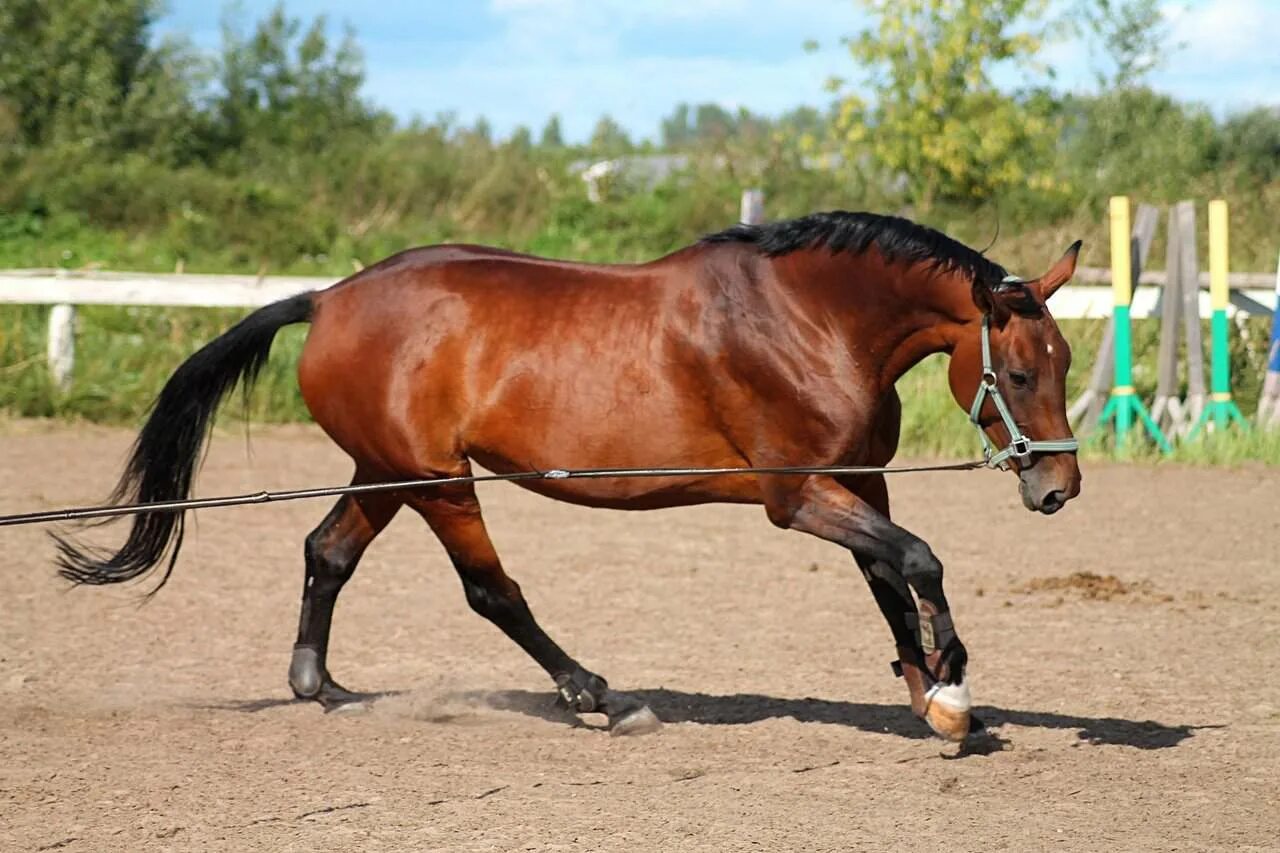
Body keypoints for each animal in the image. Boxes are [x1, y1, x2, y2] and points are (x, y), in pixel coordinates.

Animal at [57, 211, 1080, 737]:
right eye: (1021, 371)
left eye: (1065, 361)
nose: (1057, 490)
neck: (806, 317)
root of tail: (331, 298)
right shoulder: (796, 496)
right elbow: (919, 559)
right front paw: (950, 687)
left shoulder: (861, 482)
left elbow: (890, 577)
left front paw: (932, 693)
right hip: (438, 480)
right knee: (490, 589)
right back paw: (598, 694)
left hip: (385, 472)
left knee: (327, 550)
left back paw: (321, 685)